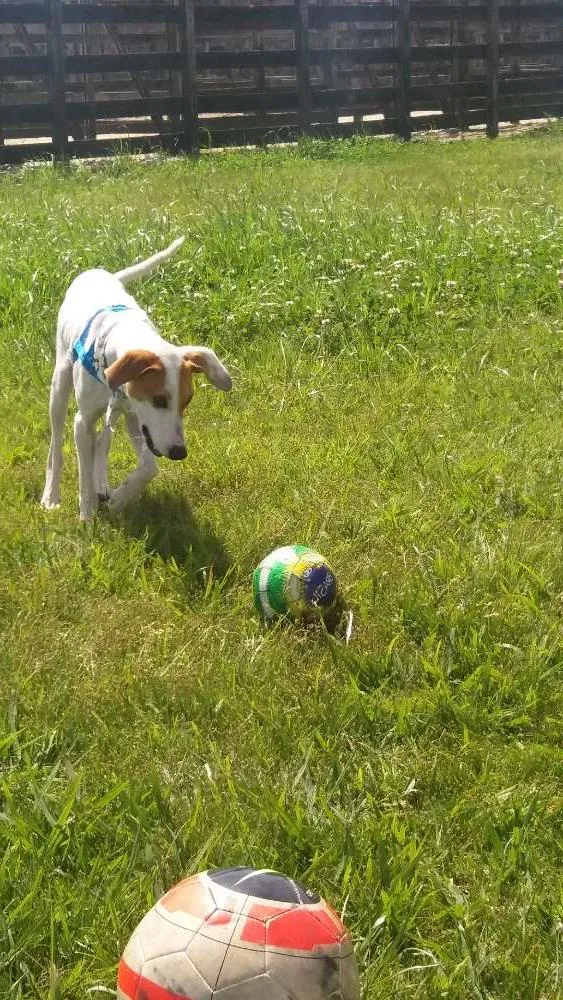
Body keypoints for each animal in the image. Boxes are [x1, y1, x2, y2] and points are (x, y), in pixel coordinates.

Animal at [41, 241, 231, 520]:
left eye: (187, 401)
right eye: (159, 400)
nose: (179, 453)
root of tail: (100, 273)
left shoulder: (135, 416)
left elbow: (149, 467)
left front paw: (121, 497)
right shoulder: (83, 421)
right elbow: (83, 472)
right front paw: (87, 515)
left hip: (117, 412)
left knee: (103, 441)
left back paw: (103, 484)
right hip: (60, 383)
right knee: (56, 444)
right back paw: (51, 495)